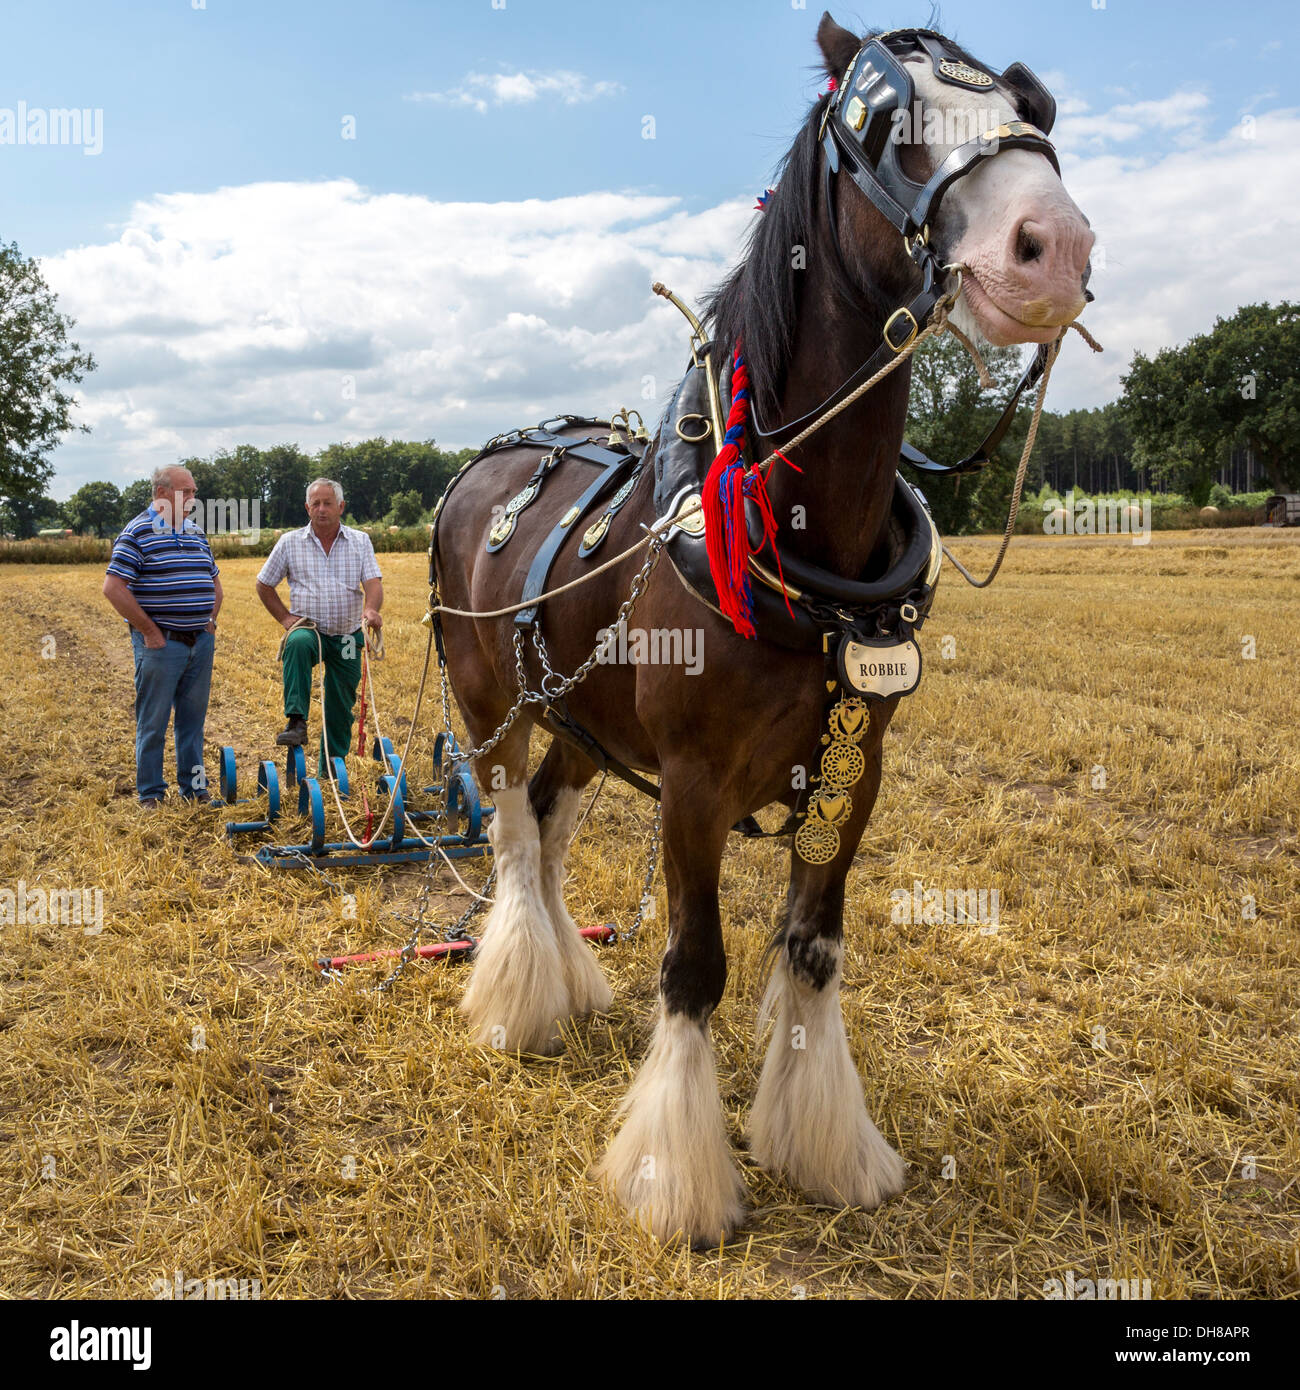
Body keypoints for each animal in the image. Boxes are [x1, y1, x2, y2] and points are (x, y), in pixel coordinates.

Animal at [431, 16, 1095, 1245]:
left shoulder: (854, 768)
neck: (795, 533)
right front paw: (676, 1181)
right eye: (880, 118)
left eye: (1033, 109)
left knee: (546, 823)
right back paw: (516, 1002)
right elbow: (696, 964)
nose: (1055, 245)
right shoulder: (692, 781)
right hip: (487, 700)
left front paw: (824, 1146)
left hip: (578, 719)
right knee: (508, 837)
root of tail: (494, 457)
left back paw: (564, 984)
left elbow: (815, 949)